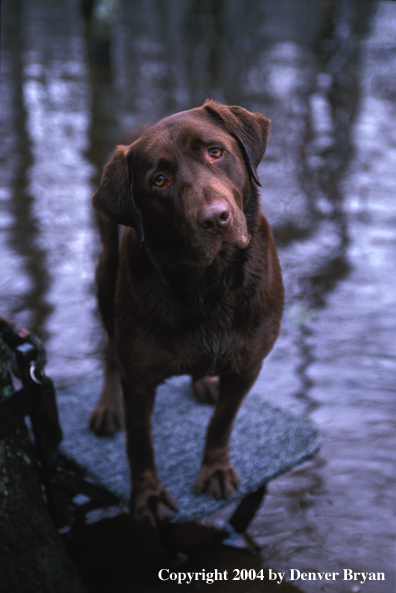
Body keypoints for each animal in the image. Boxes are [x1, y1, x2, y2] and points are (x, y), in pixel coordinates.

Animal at [89, 102, 284, 528]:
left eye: (215, 152)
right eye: (159, 180)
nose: (215, 218)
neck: (210, 283)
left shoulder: (249, 365)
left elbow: (221, 422)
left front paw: (215, 470)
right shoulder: (140, 380)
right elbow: (140, 443)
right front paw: (147, 497)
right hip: (106, 273)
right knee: (111, 349)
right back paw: (108, 406)